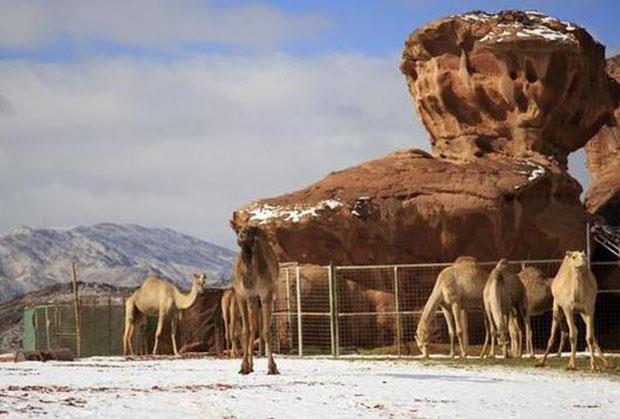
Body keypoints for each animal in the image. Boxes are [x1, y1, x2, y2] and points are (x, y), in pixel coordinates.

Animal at [230, 225, 278, 376]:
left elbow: (266, 331)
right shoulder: (243, 295)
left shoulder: (266, 294)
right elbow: (246, 331)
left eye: (250, 230)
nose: (241, 236)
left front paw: (272, 367)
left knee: (256, 327)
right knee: (250, 329)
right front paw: (244, 367)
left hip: (259, 300)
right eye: (238, 230)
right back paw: (249, 366)